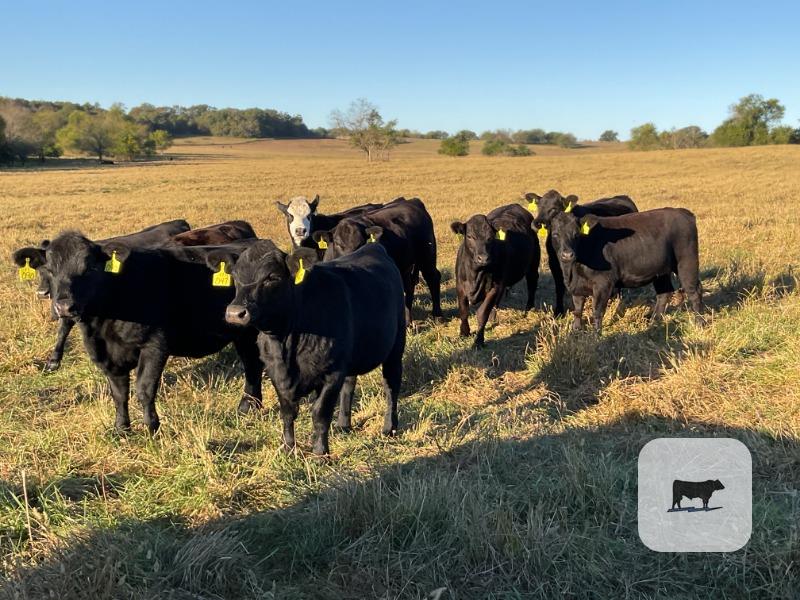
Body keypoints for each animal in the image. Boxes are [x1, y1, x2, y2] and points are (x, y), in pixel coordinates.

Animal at [42, 231, 264, 433]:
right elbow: (119, 392)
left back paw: (247, 406)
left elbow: (144, 389)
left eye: (89, 268)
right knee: (252, 366)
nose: (64, 307)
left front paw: (152, 428)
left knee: (253, 366)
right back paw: (249, 407)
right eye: (50, 270)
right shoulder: (106, 355)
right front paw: (121, 429)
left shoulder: (154, 346)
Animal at [211, 240, 406, 456]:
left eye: (271, 277)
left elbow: (320, 413)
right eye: (235, 276)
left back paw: (389, 428)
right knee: (349, 385)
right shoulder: (276, 372)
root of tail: (373, 247)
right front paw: (288, 447)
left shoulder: (331, 373)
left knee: (391, 386)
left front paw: (320, 452)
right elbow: (287, 412)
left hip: (396, 347)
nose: (235, 313)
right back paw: (343, 425)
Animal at [312, 197, 442, 324]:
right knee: (409, 287)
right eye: (338, 244)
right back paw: (408, 321)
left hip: (427, 256)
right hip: (405, 267)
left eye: (361, 243)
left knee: (433, 278)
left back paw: (437, 315)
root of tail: (413, 201)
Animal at [450, 204, 540, 348]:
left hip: (533, 265)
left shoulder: (494, 288)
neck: (475, 275)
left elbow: (482, 313)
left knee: (532, 284)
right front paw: (464, 333)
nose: (483, 258)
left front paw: (479, 341)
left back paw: (529, 309)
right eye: (469, 236)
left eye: (490, 237)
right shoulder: (460, 286)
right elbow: (463, 311)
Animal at [548, 208, 703, 332]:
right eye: (555, 234)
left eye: (576, 234)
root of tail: (684, 212)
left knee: (694, 291)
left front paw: (596, 335)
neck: (572, 270)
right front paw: (576, 330)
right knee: (664, 293)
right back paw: (654, 322)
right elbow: (578, 310)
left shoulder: (603, 284)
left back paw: (699, 322)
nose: (567, 254)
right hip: (661, 271)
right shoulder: (577, 286)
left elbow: (597, 311)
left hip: (686, 262)